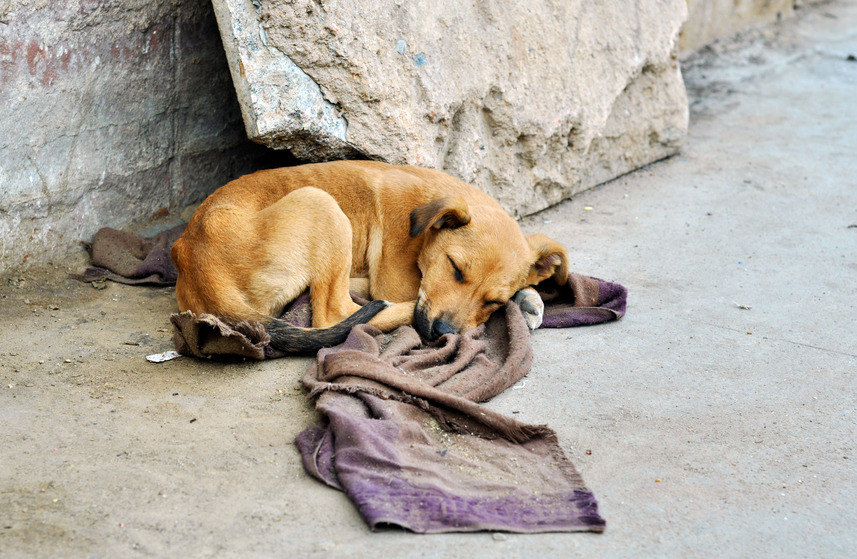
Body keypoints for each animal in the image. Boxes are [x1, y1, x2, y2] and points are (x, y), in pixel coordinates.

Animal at [171, 162, 568, 352]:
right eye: (455, 268)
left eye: (493, 301)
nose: (441, 333)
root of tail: (195, 259)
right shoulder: (399, 281)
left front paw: (528, 298)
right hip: (321, 204)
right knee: (335, 314)